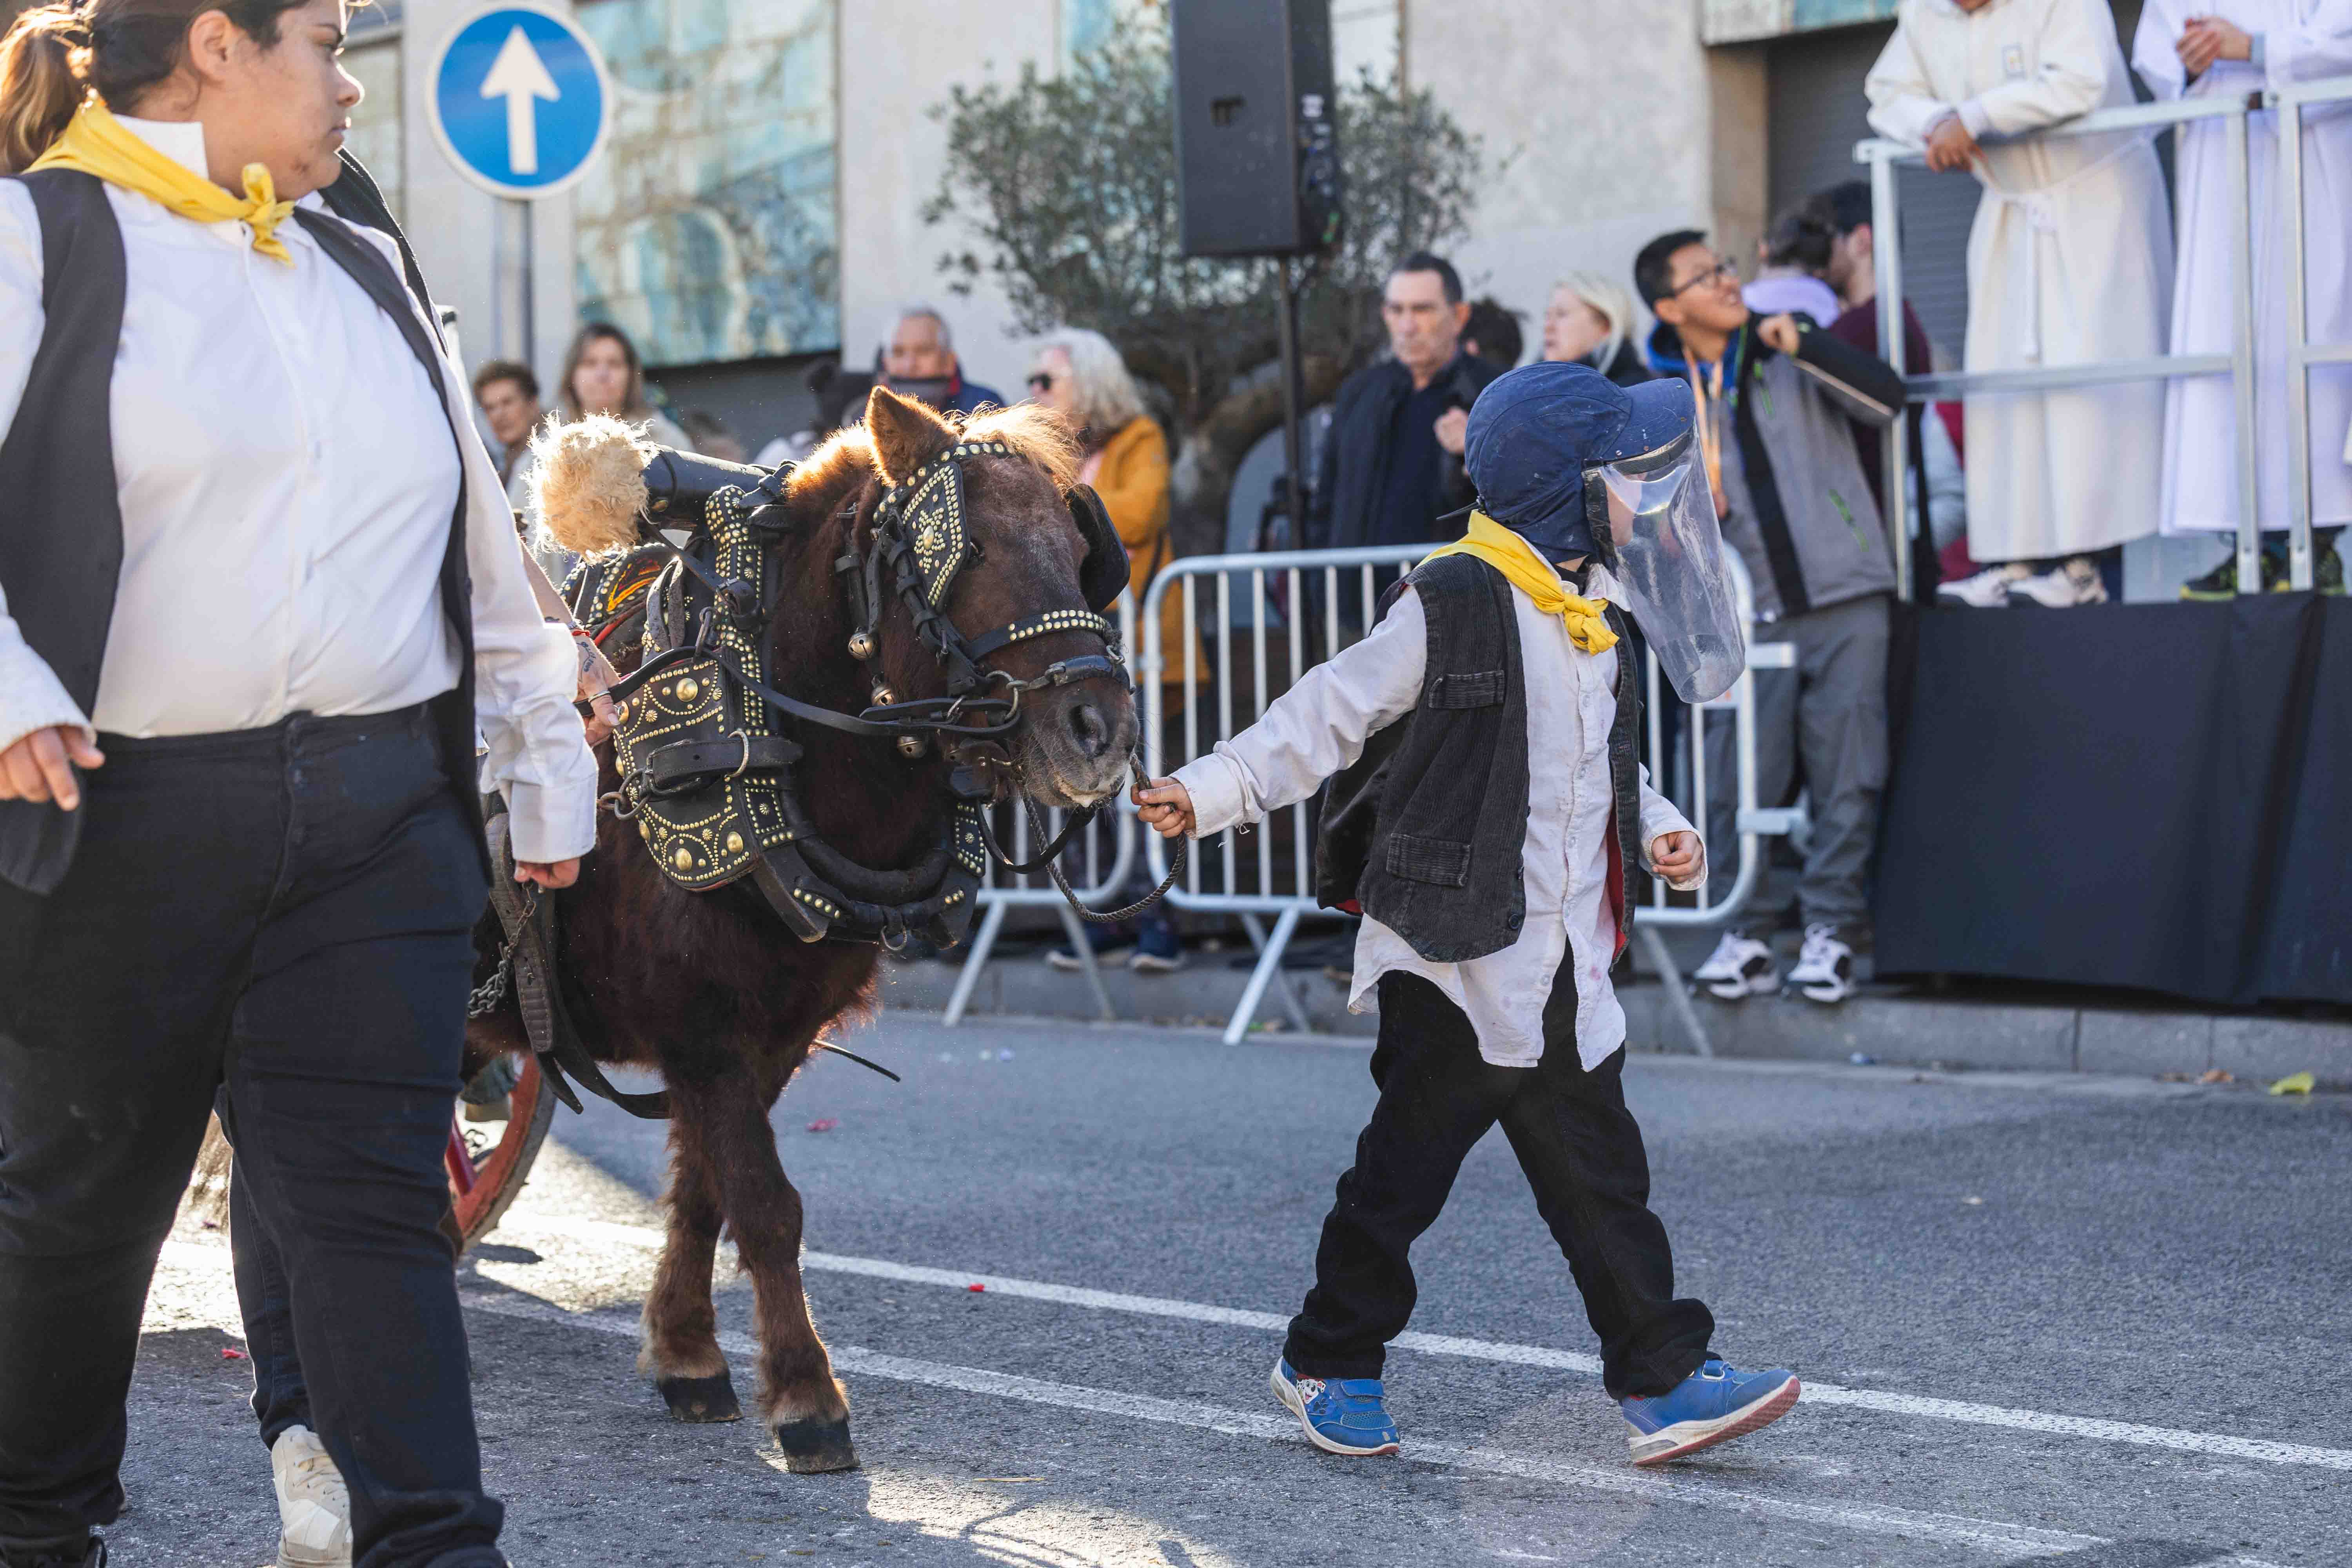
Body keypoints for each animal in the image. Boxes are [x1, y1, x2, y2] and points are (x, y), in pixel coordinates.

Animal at [477, 390, 1138, 1476]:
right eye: (972, 548)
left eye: (1084, 552)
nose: (1103, 731)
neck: (753, 727)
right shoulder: (703, 1026)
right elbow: (767, 1204)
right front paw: (806, 1395)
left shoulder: (772, 1035)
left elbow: (708, 1194)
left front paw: (689, 1353)